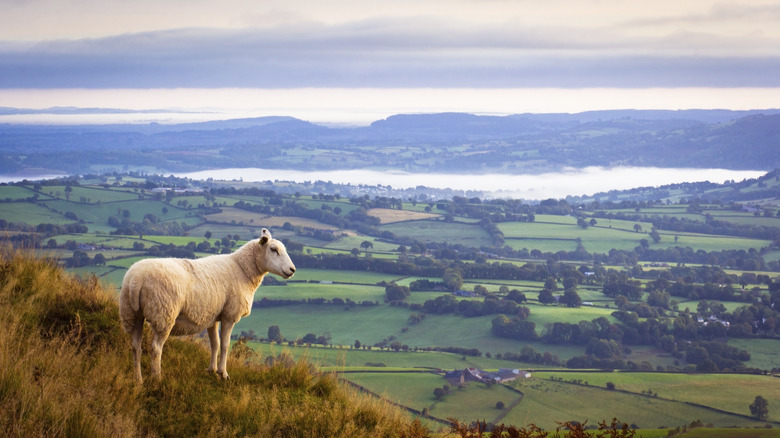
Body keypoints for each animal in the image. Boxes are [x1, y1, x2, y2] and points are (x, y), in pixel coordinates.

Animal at [118, 229, 296, 384]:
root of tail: (136, 280)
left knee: (135, 347)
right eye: (273, 249)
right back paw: (157, 378)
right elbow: (224, 345)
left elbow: (214, 344)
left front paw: (212, 370)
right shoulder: (229, 315)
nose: (292, 269)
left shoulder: (213, 316)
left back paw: (138, 380)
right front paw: (223, 373)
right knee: (155, 348)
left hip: (132, 314)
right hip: (164, 314)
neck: (243, 269)